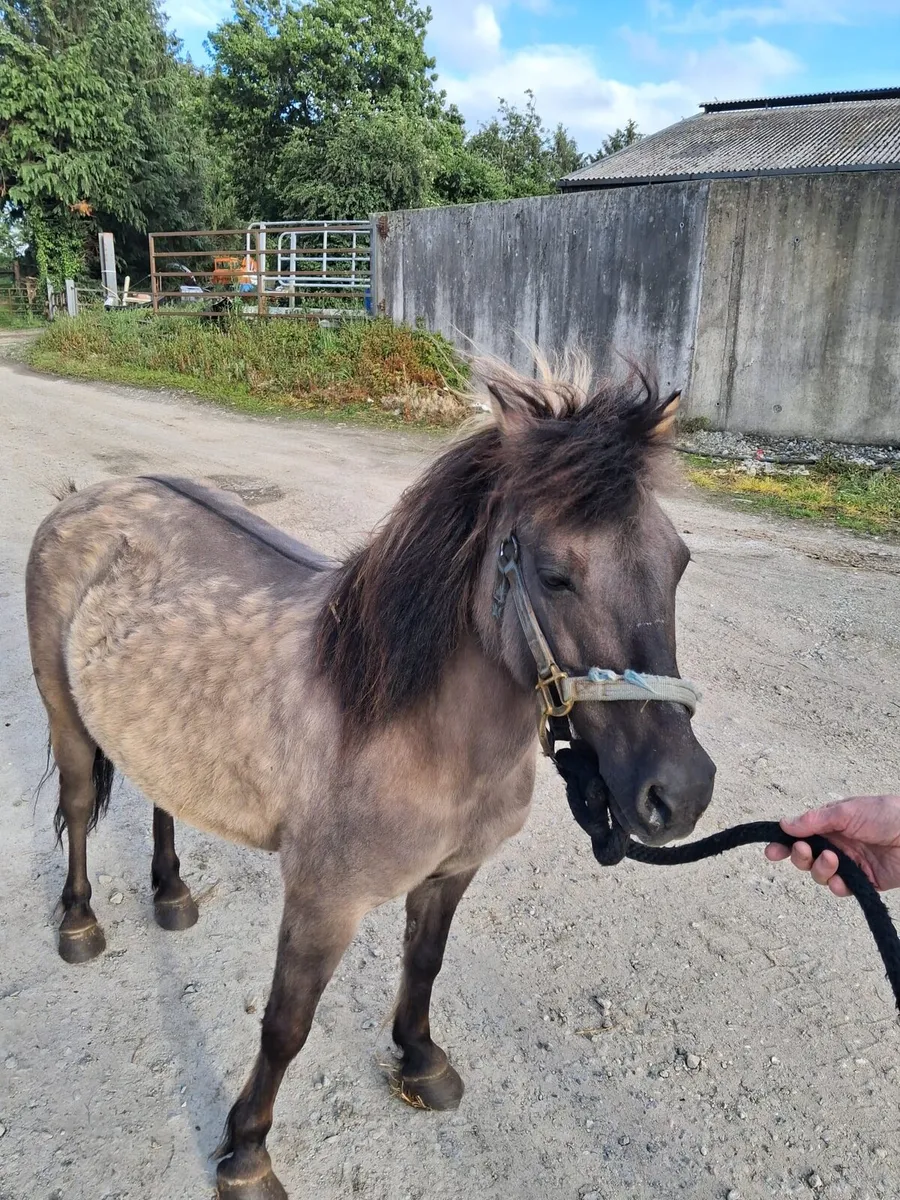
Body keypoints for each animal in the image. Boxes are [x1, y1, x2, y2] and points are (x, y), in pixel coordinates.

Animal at [25, 358, 716, 1199]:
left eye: (677, 563)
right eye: (555, 576)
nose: (680, 793)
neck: (410, 730)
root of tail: (83, 500)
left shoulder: (451, 875)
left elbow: (423, 965)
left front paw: (420, 1062)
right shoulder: (324, 901)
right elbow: (286, 1024)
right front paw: (246, 1152)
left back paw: (173, 895)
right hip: (66, 719)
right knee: (78, 802)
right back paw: (79, 924)